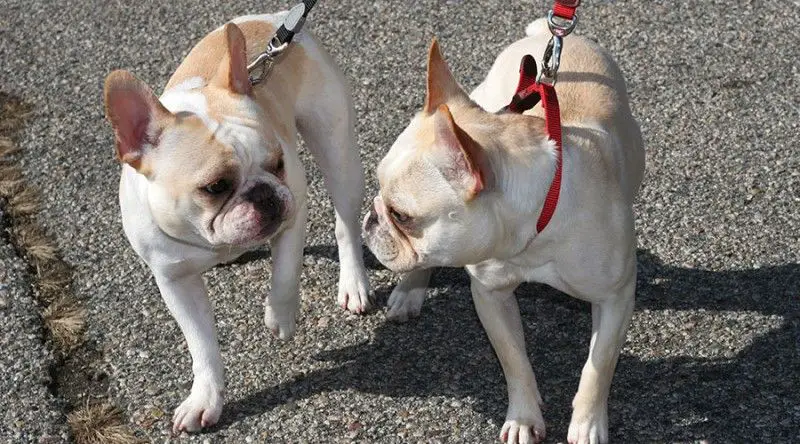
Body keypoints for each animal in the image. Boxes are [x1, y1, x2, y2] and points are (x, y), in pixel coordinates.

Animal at [102, 13, 372, 434]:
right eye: (215, 187)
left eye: (278, 162)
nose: (263, 193)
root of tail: (271, 18)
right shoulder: (174, 280)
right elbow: (200, 343)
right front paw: (205, 398)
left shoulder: (293, 212)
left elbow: (286, 274)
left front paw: (280, 317)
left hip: (336, 149)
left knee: (345, 223)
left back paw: (353, 283)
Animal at [362, 18, 644, 444]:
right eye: (382, 198)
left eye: (401, 215)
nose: (371, 216)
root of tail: (545, 35)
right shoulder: (490, 294)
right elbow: (514, 359)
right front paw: (525, 417)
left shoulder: (616, 297)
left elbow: (599, 365)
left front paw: (587, 423)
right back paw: (409, 290)